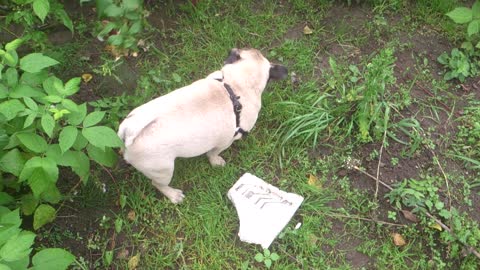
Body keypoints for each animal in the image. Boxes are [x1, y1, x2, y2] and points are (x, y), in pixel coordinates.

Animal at [117, 49, 286, 205]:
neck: (235, 85)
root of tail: (129, 130)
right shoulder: (226, 141)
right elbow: (213, 153)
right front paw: (216, 162)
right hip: (163, 170)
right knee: (158, 184)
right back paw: (174, 195)